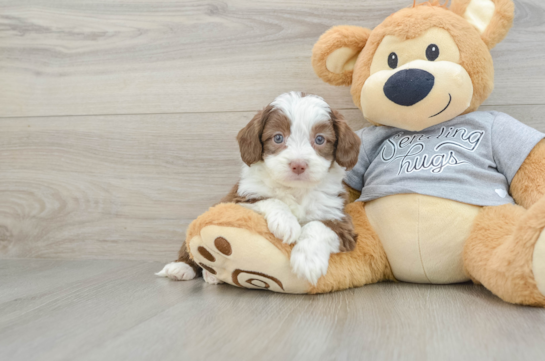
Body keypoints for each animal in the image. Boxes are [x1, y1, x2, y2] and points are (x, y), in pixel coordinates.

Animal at [156, 91, 362, 286]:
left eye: (320, 139)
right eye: (278, 137)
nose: (298, 165)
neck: (295, 190)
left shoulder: (338, 217)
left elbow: (318, 225)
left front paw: (308, 260)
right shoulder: (239, 198)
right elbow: (270, 199)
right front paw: (286, 223)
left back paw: (212, 275)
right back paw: (181, 268)